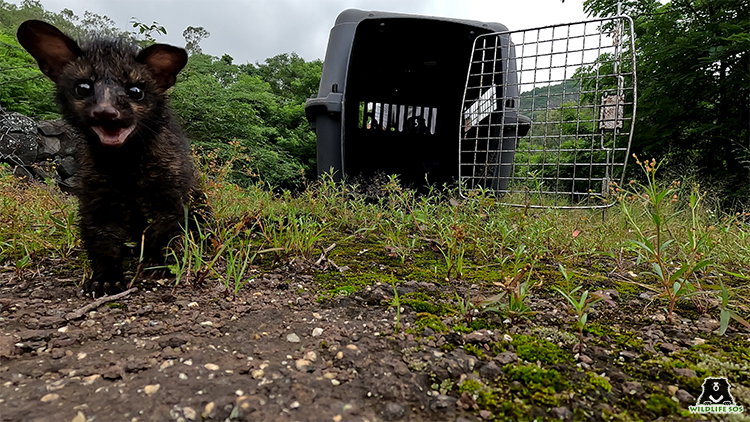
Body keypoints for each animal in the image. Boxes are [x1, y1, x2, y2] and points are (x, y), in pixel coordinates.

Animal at [19, 19, 197, 296]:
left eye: (135, 90)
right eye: (83, 87)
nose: (105, 112)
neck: (124, 160)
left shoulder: (170, 190)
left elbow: (162, 229)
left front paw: (155, 263)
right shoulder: (98, 194)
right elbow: (101, 235)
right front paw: (106, 279)